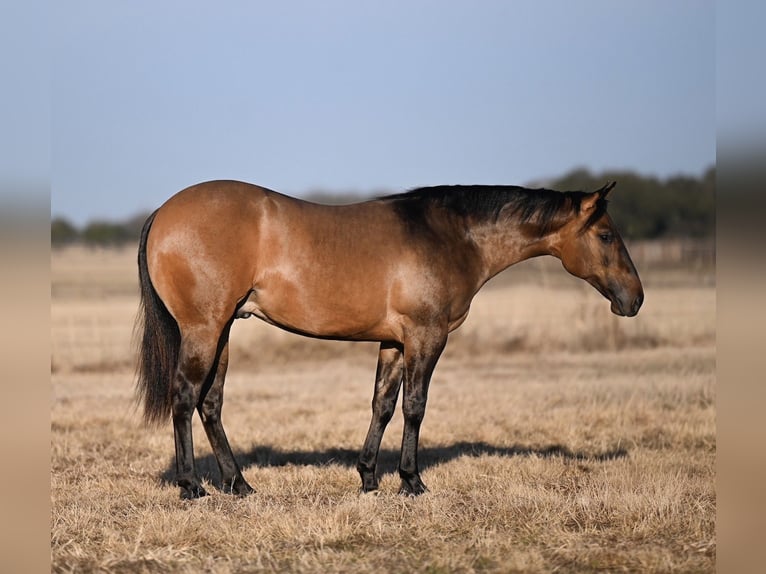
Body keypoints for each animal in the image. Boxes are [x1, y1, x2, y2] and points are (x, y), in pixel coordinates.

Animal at [135, 180, 643, 499]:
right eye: (605, 235)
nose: (634, 298)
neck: (450, 236)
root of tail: (162, 212)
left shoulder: (395, 343)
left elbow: (382, 404)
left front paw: (368, 478)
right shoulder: (425, 336)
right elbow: (414, 406)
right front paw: (411, 481)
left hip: (222, 331)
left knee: (210, 403)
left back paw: (239, 484)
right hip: (204, 329)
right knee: (184, 397)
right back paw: (191, 486)